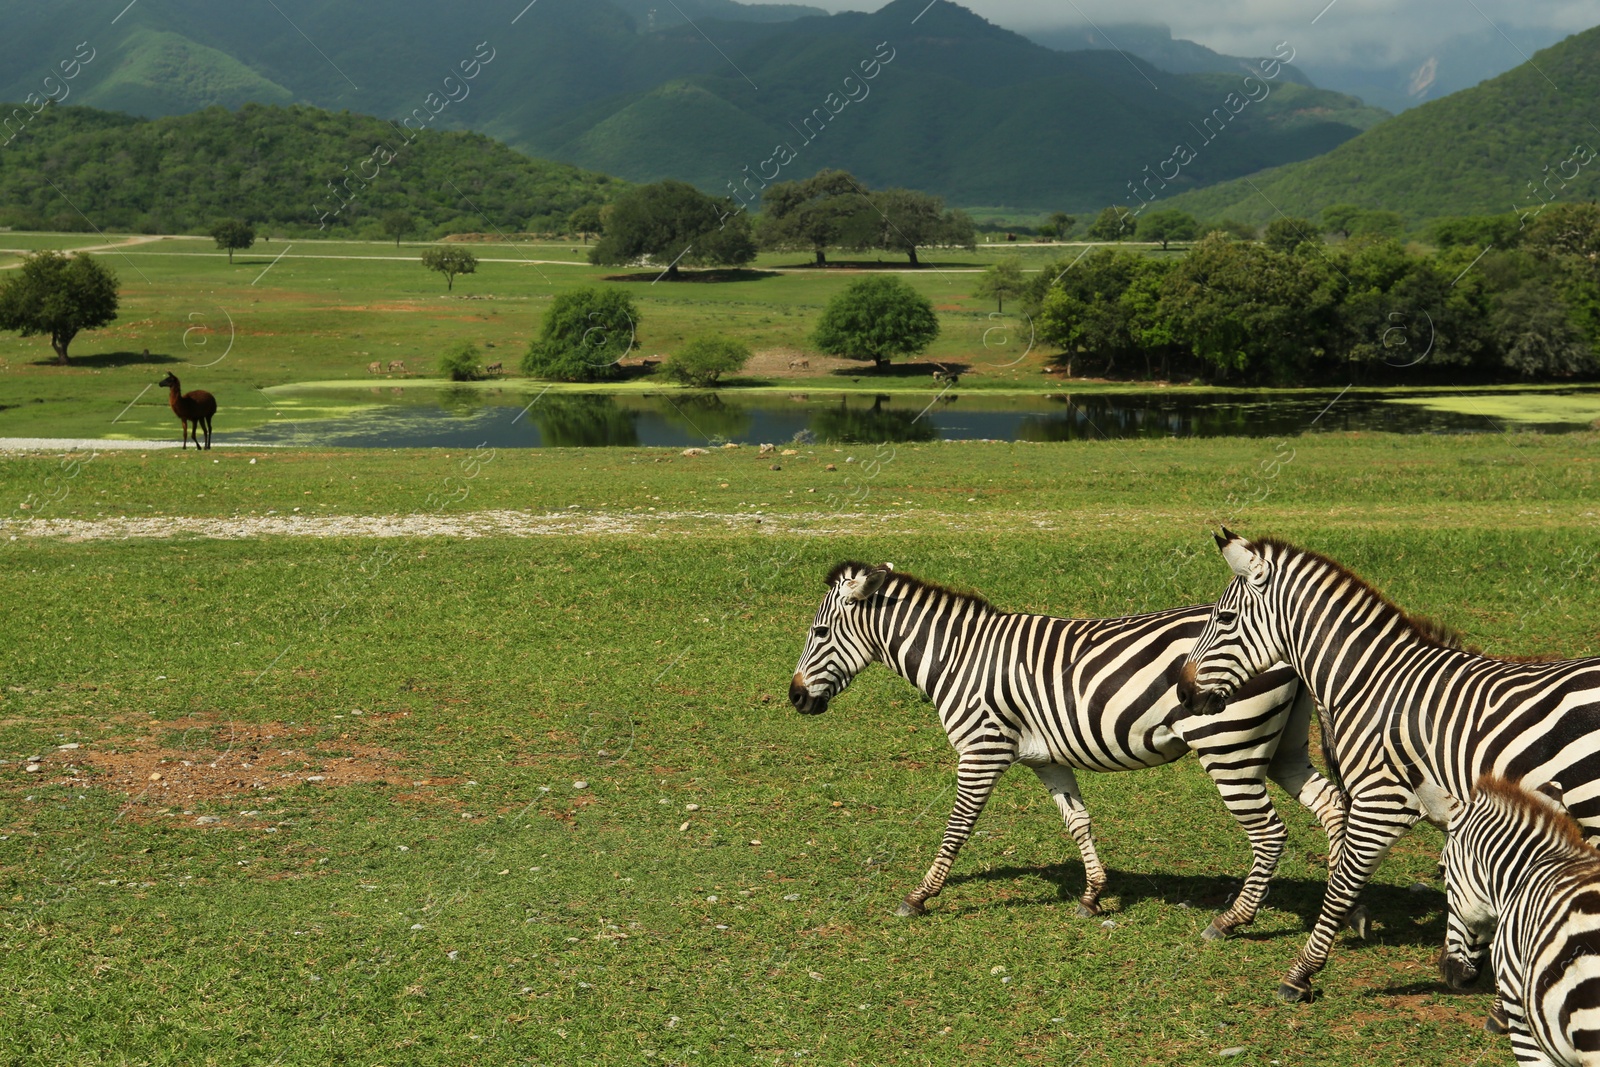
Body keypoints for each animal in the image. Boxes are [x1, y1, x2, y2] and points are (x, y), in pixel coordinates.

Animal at [787, 563, 1350, 940]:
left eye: (819, 631)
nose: (793, 697)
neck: (960, 658)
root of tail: (1289, 643)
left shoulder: (982, 748)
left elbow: (958, 826)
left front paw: (920, 896)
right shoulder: (1048, 759)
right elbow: (1078, 821)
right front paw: (1092, 895)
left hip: (1230, 746)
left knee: (1270, 834)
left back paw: (1233, 920)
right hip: (1282, 751)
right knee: (1333, 810)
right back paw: (1344, 908)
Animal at [1177, 534, 1600, 1011]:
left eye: (1225, 618)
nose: (1182, 692)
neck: (1369, 684)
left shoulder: (1382, 800)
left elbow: (1341, 884)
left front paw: (1300, 975)